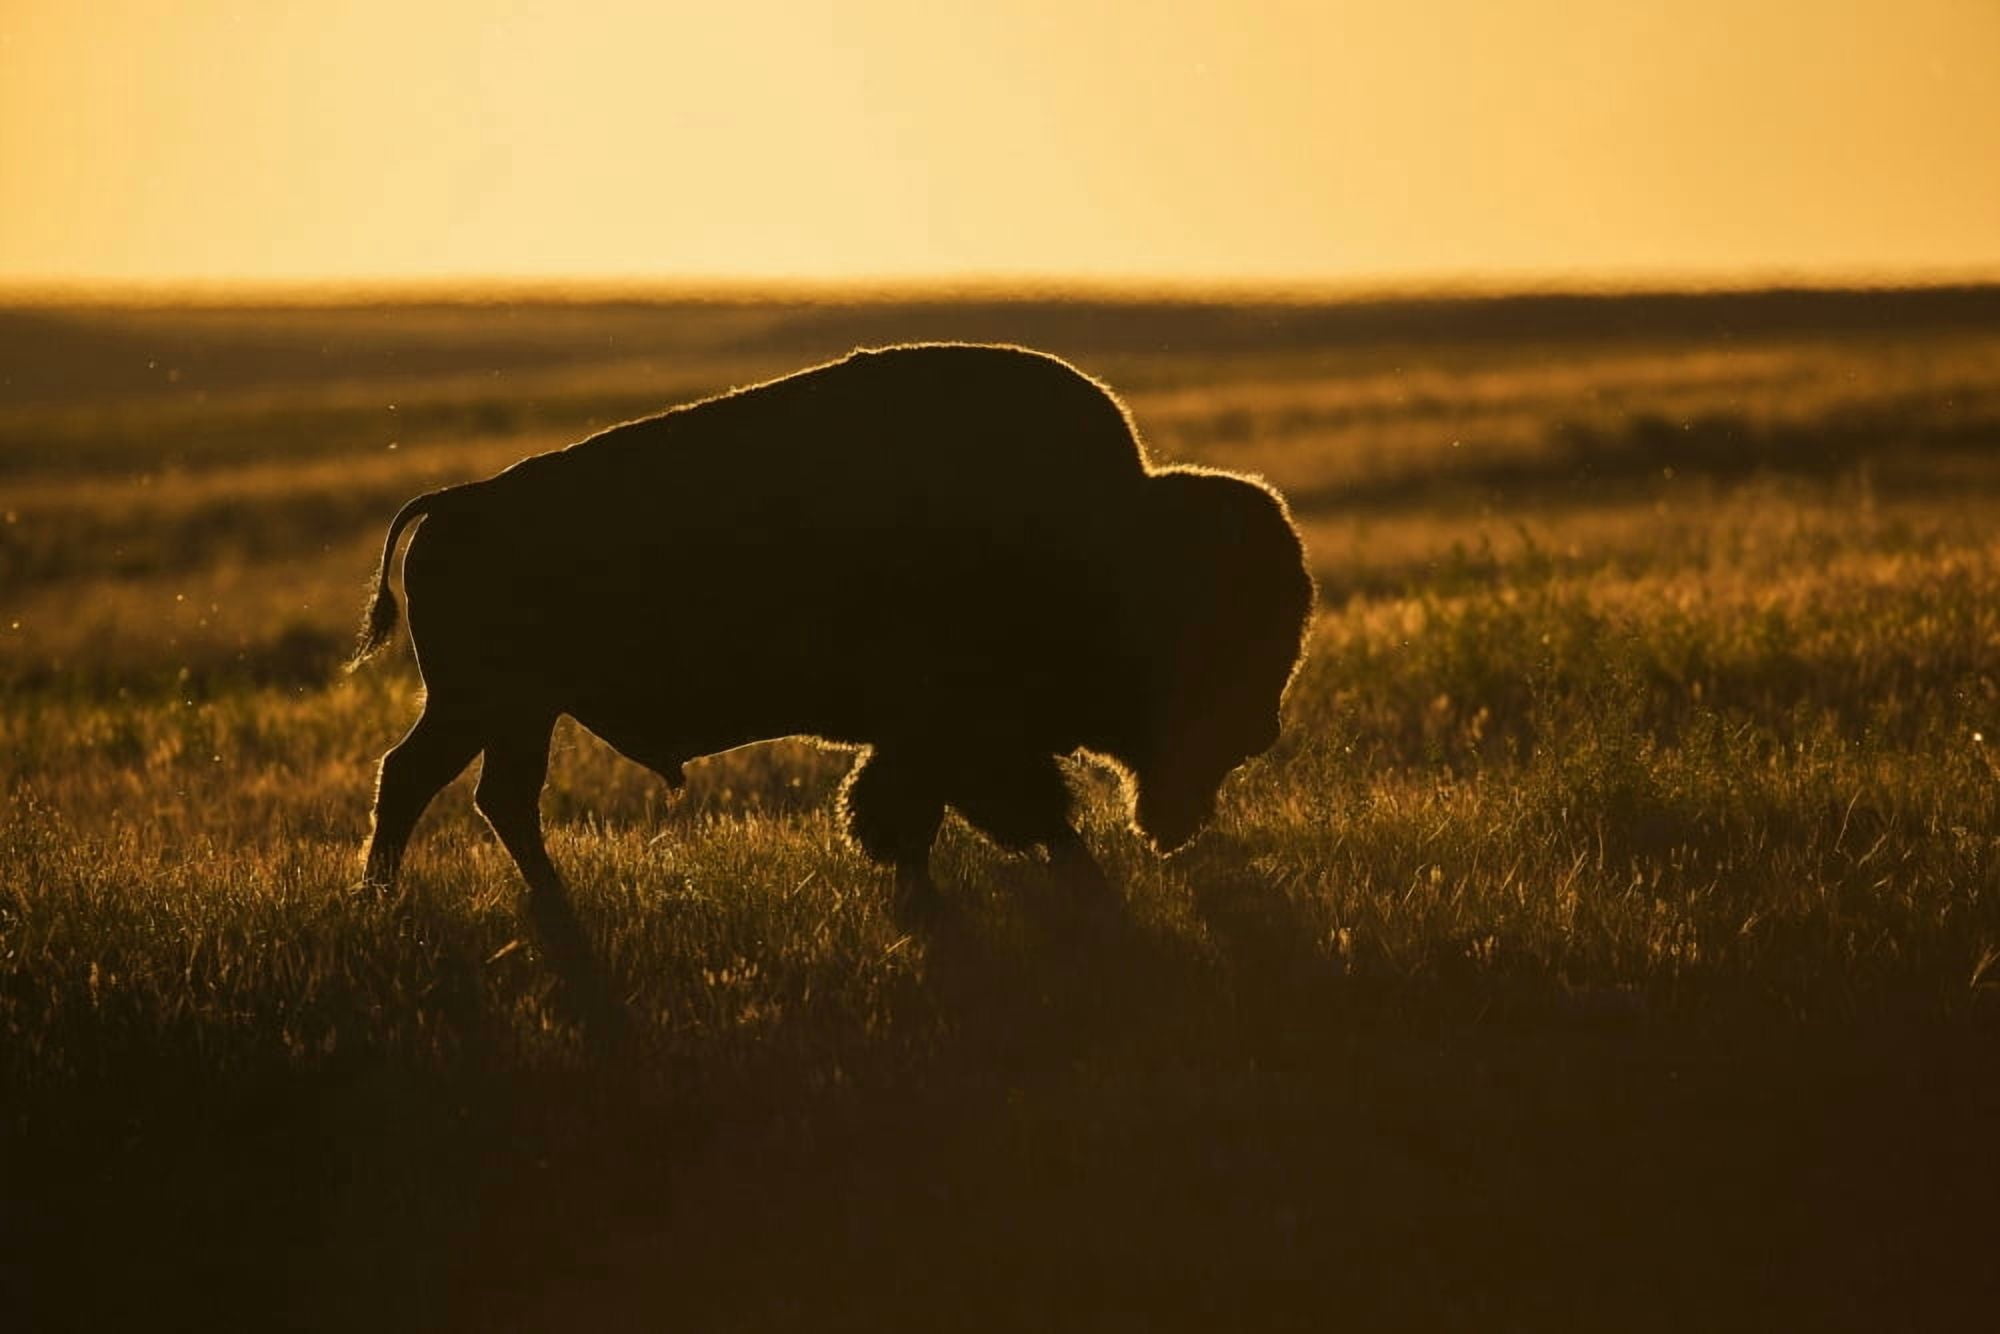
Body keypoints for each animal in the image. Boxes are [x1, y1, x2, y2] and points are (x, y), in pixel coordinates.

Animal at [353, 343, 1312, 1003]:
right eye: (1221, 642)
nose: (1260, 729)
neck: (1113, 543)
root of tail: (459, 503)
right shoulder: (961, 733)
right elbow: (1007, 813)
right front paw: (1079, 896)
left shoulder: (929, 740)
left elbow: (916, 816)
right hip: (491, 705)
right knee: (441, 785)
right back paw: (403, 904)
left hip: (505, 712)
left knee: (464, 789)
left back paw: (452, 906)